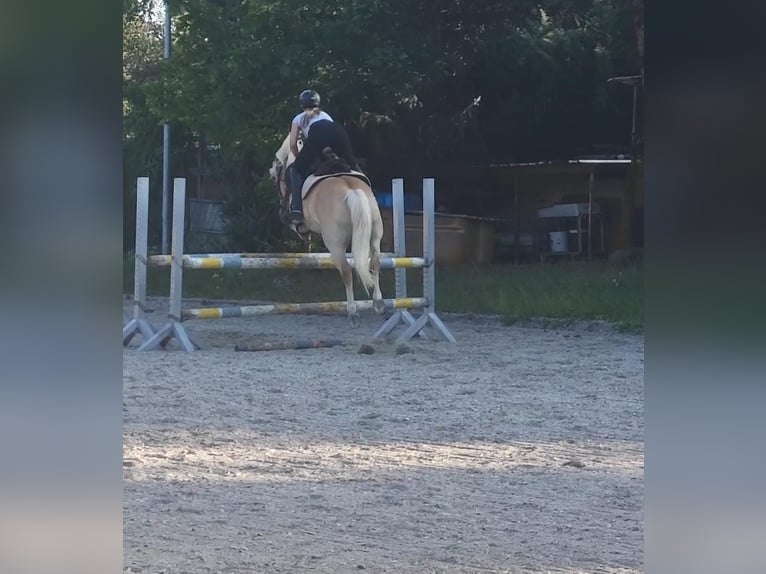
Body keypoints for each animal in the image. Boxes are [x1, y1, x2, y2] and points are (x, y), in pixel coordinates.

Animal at [272, 132, 390, 326]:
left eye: (279, 175)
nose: (281, 210)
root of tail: (353, 192)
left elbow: (297, 225)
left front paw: (299, 227)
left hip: (335, 244)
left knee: (346, 270)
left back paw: (352, 312)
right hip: (375, 235)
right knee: (375, 262)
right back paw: (379, 304)